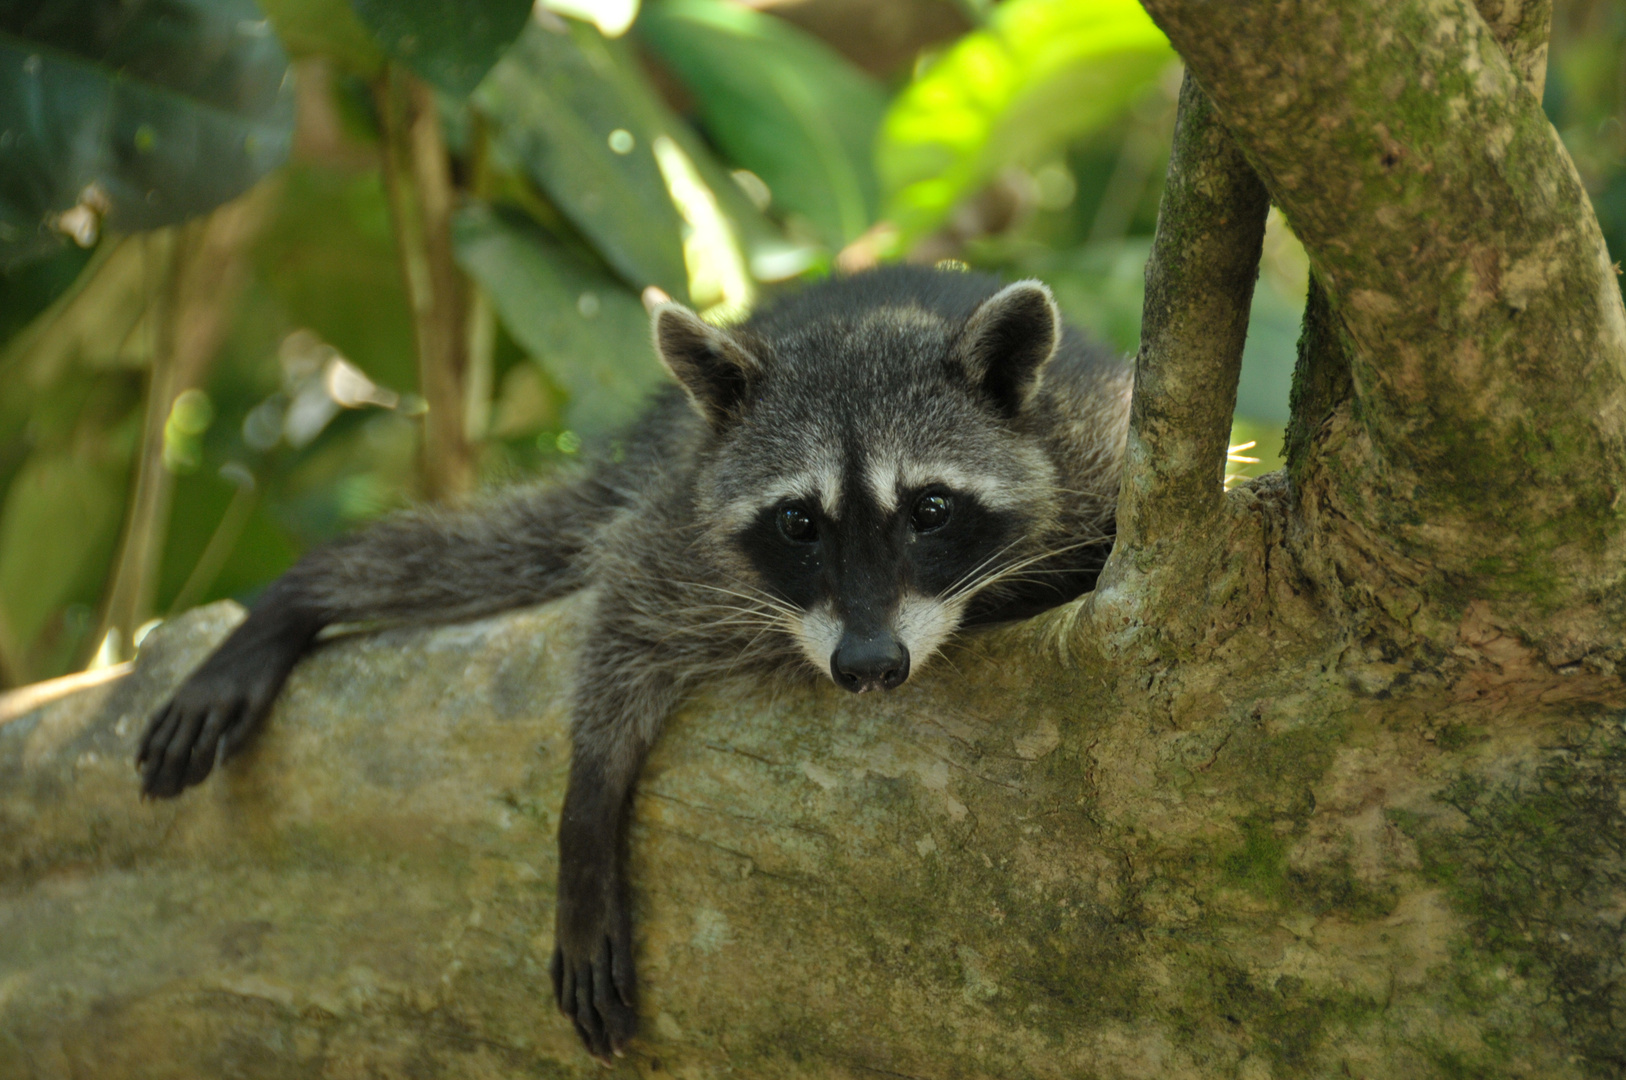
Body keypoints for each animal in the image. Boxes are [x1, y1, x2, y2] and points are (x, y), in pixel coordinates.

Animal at [133, 265, 1125, 1060]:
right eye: (799, 522)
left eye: (930, 510)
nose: (870, 665)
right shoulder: (686, 533)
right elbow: (621, 623)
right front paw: (589, 806)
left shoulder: (1096, 457)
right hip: (667, 455)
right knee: (515, 545)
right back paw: (309, 592)